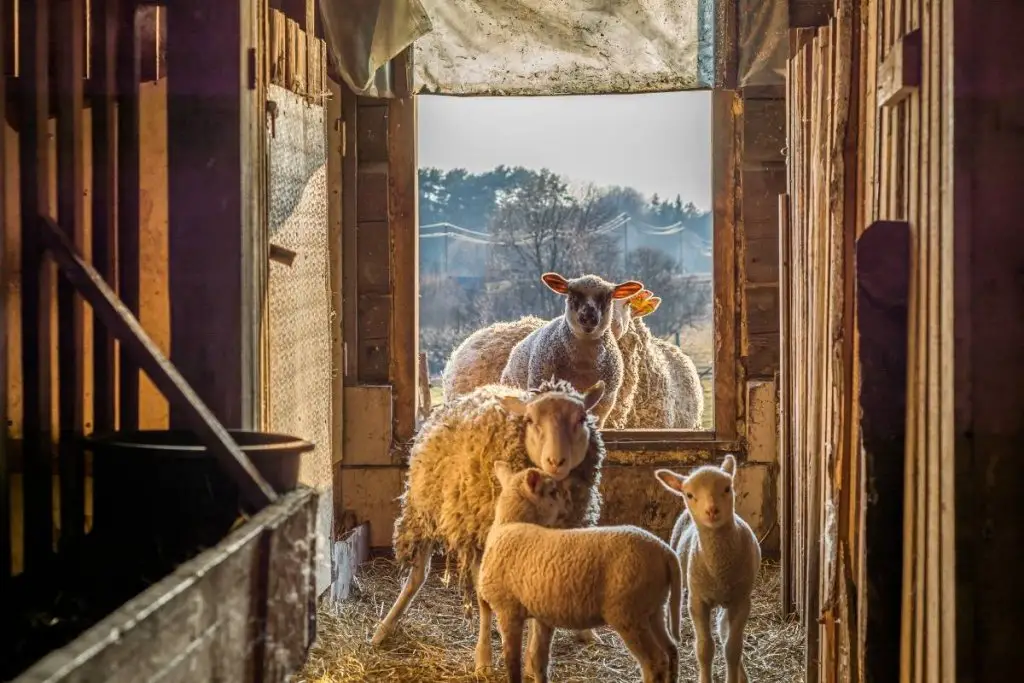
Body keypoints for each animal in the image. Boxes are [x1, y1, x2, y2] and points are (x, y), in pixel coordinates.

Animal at [370, 378, 602, 651]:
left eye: (582, 419)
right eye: (530, 420)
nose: (556, 461)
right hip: (426, 513)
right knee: (418, 575)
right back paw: (384, 628)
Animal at [477, 462, 679, 679]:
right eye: (553, 492)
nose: (569, 508)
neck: (509, 523)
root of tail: (665, 551)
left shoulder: (508, 611)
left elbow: (513, 663)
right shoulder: (538, 616)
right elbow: (538, 661)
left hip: (629, 613)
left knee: (655, 661)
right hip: (654, 608)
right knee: (671, 650)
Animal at [655, 454, 761, 683]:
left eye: (727, 488)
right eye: (689, 494)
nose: (712, 511)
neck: (719, 569)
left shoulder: (741, 601)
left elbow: (733, 648)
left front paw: (733, 677)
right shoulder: (697, 601)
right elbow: (704, 649)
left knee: (724, 631)